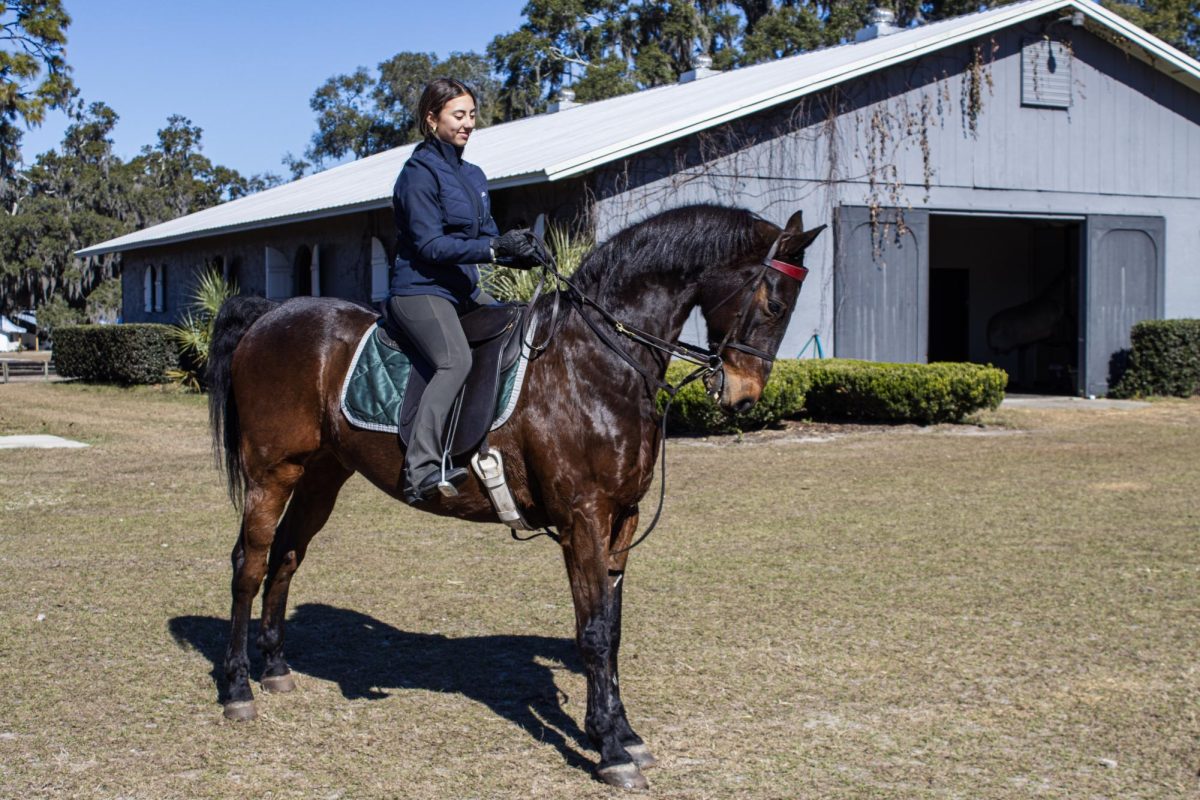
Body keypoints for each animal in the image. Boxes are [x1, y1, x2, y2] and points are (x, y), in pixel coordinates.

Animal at [206, 203, 825, 790]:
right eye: (775, 305)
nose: (744, 397)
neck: (597, 360)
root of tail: (271, 314)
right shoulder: (583, 519)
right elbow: (593, 632)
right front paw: (610, 750)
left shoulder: (622, 518)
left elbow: (613, 627)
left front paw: (626, 732)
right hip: (271, 473)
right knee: (249, 564)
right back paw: (238, 689)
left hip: (320, 476)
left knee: (286, 556)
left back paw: (275, 667)